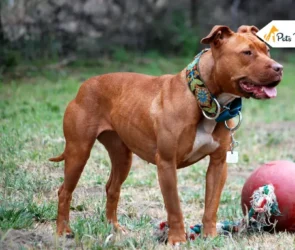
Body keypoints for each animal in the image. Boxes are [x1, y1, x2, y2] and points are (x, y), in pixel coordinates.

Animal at [49, 25, 284, 244]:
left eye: (267, 50)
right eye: (247, 52)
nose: (279, 68)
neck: (203, 98)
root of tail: (85, 85)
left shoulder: (218, 164)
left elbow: (211, 205)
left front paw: (210, 236)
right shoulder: (166, 164)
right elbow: (174, 207)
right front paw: (177, 239)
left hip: (122, 157)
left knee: (112, 188)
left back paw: (114, 228)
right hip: (79, 151)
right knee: (64, 191)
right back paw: (63, 231)